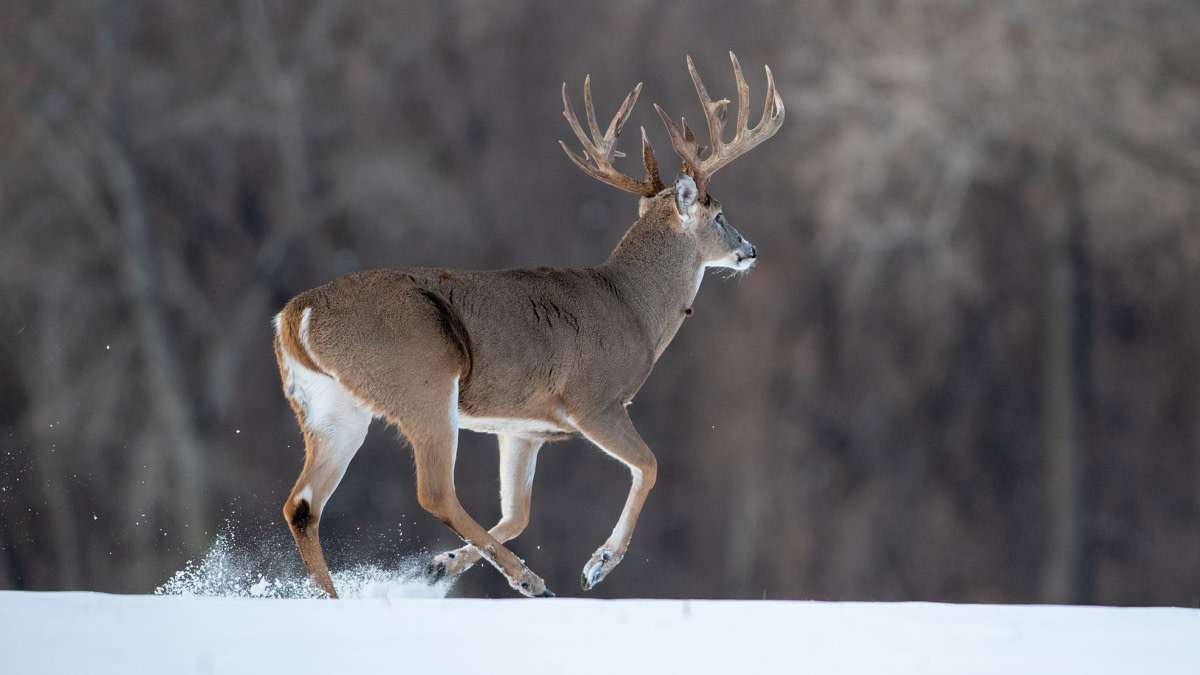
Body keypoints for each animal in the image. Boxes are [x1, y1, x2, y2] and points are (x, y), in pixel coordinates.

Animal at [273, 51, 782, 593]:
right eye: (719, 213)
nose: (751, 250)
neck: (635, 308)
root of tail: (295, 316)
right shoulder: (593, 398)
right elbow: (649, 465)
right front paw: (598, 563)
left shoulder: (521, 427)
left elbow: (517, 514)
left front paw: (441, 565)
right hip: (422, 381)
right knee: (434, 491)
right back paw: (531, 580)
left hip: (332, 407)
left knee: (302, 505)